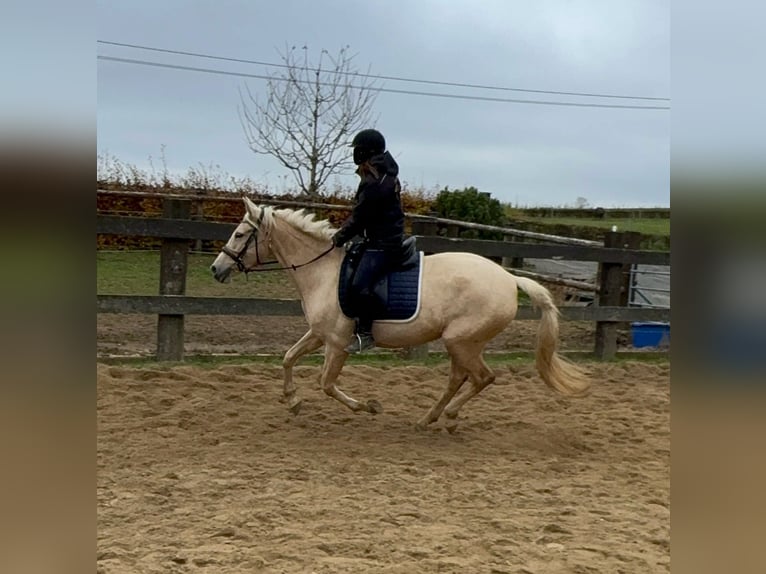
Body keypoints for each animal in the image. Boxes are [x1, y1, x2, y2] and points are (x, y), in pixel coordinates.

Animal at [208, 198, 588, 432]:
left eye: (240, 234)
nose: (216, 269)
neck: (324, 272)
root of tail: (509, 278)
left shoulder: (338, 344)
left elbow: (327, 383)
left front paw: (368, 406)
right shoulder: (318, 334)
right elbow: (288, 358)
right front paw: (292, 401)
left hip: (461, 341)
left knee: (483, 378)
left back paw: (449, 418)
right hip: (460, 344)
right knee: (459, 379)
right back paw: (428, 419)